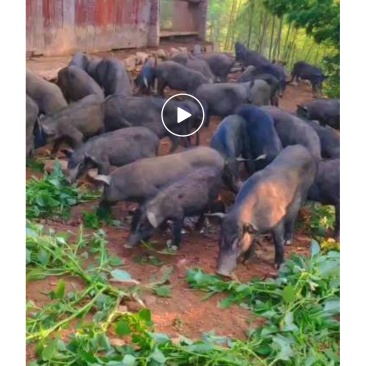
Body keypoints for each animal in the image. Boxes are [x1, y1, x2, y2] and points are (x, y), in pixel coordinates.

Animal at [212, 144, 318, 276]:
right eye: (220, 238)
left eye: (238, 241)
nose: (221, 272)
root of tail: (303, 148)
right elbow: (252, 241)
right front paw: (245, 261)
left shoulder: (277, 221)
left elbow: (278, 242)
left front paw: (279, 266)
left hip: (301, 194)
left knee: (292, 218)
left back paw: (287, 241)